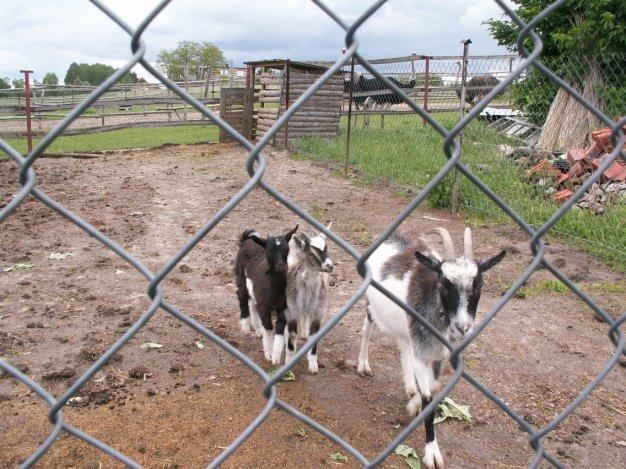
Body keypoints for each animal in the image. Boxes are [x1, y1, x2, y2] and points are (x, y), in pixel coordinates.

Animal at [236, 226, 300, 362]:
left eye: (286, 249)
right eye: (269, 250)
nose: (281, 266)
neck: (276, 289)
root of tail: (247, 239)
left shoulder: (284, 307)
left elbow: (280, 327)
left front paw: (276, 355)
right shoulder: (264, 306)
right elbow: (269, 327)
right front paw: (269, 353)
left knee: (252, 302)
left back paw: (257, 329)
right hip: (240, 275)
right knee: (241, 295)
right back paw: (246, 326)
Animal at [272, 226, 334, 372]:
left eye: (326, 248)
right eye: (311, 253)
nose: (330, 265)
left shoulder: (318, 312)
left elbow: (314, 338)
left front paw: (313, 366)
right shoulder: (292, 310)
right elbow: (292, 337)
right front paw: (289, 361)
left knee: (305, 316)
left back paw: (304, 332)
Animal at [356, 227, 502, 468]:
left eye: (479, 285)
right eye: (443, 284)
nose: (462, 327)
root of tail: (395, 235)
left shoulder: (436, 355)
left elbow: (432, 391)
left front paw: (414, 403)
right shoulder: (422, 353)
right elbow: (428, 401)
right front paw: (432, 452)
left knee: (403, 346)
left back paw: (410, 388)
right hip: (372, 303)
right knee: (367, 325)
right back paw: (363, 365)